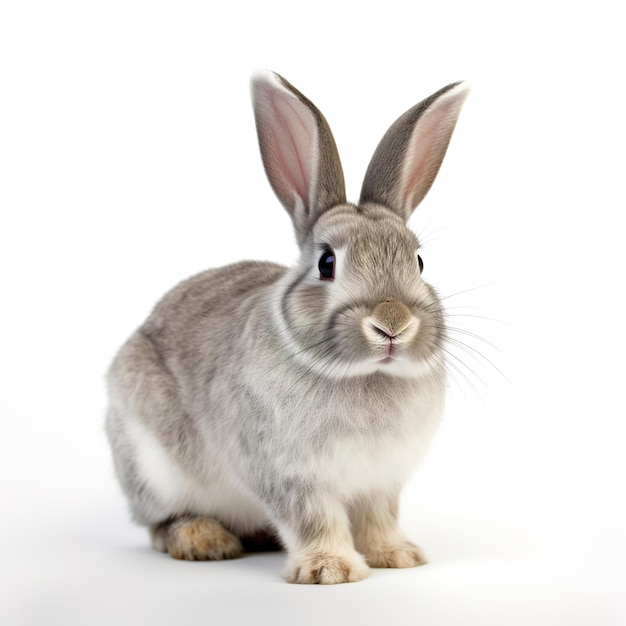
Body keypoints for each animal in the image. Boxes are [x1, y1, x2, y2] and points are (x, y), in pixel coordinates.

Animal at [106, 70, 468, 584]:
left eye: (418, 261)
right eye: (327, 263)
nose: (392, 325)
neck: (365, 375)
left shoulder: (382, 481)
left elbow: (380, 518)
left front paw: (398, 556)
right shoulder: (290, 476)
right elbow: (313, 519)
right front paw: (330, 570)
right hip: (153, 466)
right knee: (161, 523)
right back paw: (205, 541)